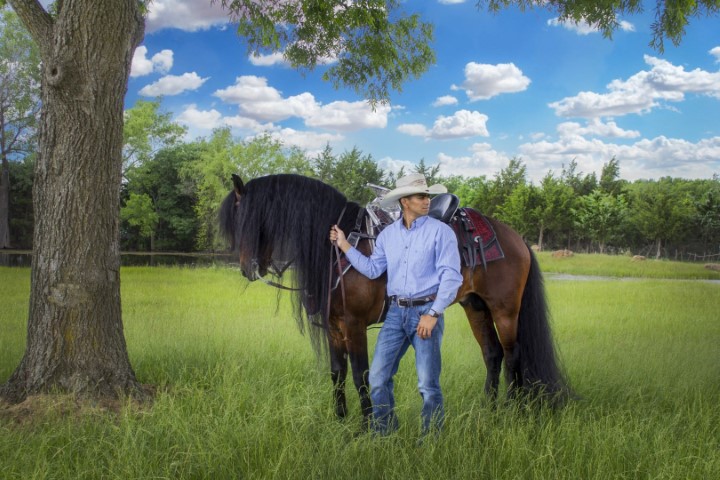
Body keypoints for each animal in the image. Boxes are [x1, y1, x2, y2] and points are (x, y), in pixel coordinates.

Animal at [221, 174, 572, 422]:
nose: (248, 268)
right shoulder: (334, 326)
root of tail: (516, 239)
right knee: (492, 354)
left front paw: (366, 427)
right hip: (476, 306)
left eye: (254, 218)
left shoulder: (354, 324)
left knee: (513, 355)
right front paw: (340, 420)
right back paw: (490, 409)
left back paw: (514, 411)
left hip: (505, 309)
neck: (340, 248)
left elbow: (361, 375)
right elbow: (338, 373)